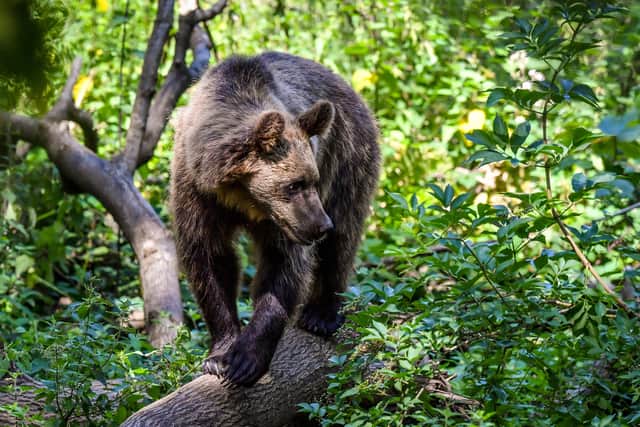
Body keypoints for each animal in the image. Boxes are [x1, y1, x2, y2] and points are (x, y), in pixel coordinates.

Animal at [170, 51, 380, 386]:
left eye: (311, 179)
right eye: (294, 184)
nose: (321, 226)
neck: (241, 197)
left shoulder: (283, 221)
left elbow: (283, 267)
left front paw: (245, 359)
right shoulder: (196, 193)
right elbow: (211, 261)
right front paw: (219, 355)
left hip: (349, 156)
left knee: (344, 236)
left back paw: (321, 313)